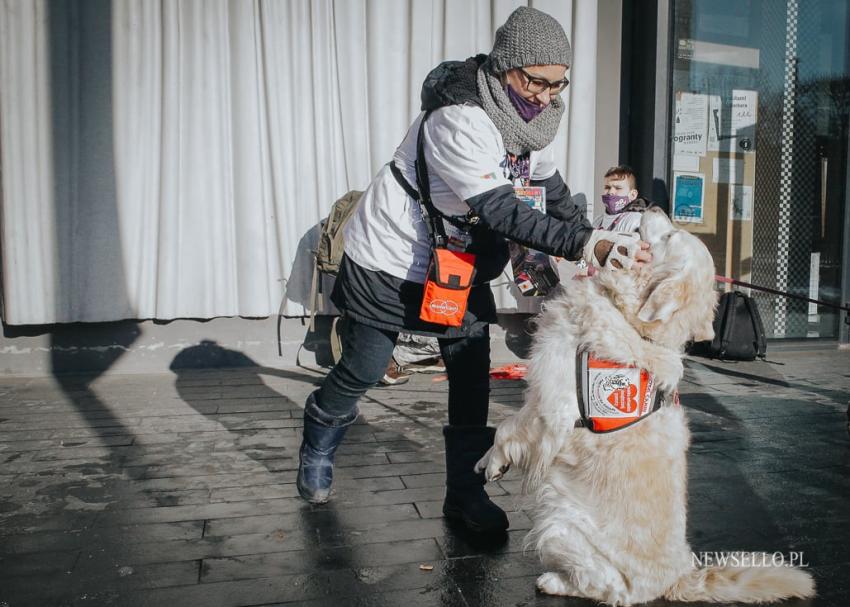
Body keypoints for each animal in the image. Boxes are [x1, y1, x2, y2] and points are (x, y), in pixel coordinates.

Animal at [476, 208, 816, 604]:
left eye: (669, 236)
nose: (653, 208)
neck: (632, 321)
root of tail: (678, 578)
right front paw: (484, 460)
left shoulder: (551, 405)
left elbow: (506, 428)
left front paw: (495, 463)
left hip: (559, 519)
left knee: (607, 588)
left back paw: (554, 581)